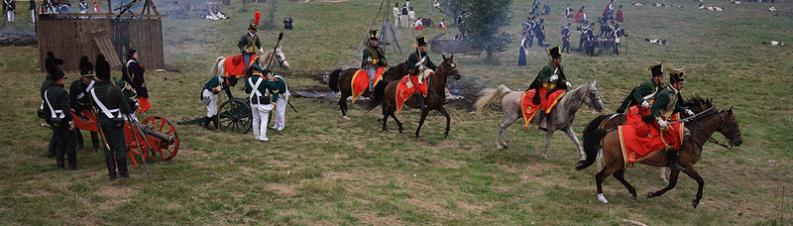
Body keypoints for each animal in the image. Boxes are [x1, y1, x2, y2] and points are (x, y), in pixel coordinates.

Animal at [474, 81, 604, 159]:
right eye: (592, 93)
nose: (601, 107)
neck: (564, 106)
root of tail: (508, 92)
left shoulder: (566, 128)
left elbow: (576, 141)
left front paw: (582, 156)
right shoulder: (551, 129)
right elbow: (547, 142)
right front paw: (544, 155)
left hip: (510, 117)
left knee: (501, 126)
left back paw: (505, 143)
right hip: (511, 117)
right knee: (501, 126)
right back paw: (499, 145)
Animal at [576, 100, 744, 208]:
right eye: (734, 123)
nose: (739, 141)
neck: (693, 134)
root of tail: (607, 130)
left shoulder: (677, 166)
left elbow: (671, 185)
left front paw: (652, 194)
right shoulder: (686, 165)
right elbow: (700, 181)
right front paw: (696, 201)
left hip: (621, 161)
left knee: (618, 175)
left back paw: (633, 192)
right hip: (615, 162)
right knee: (601, 176)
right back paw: (602, 197)